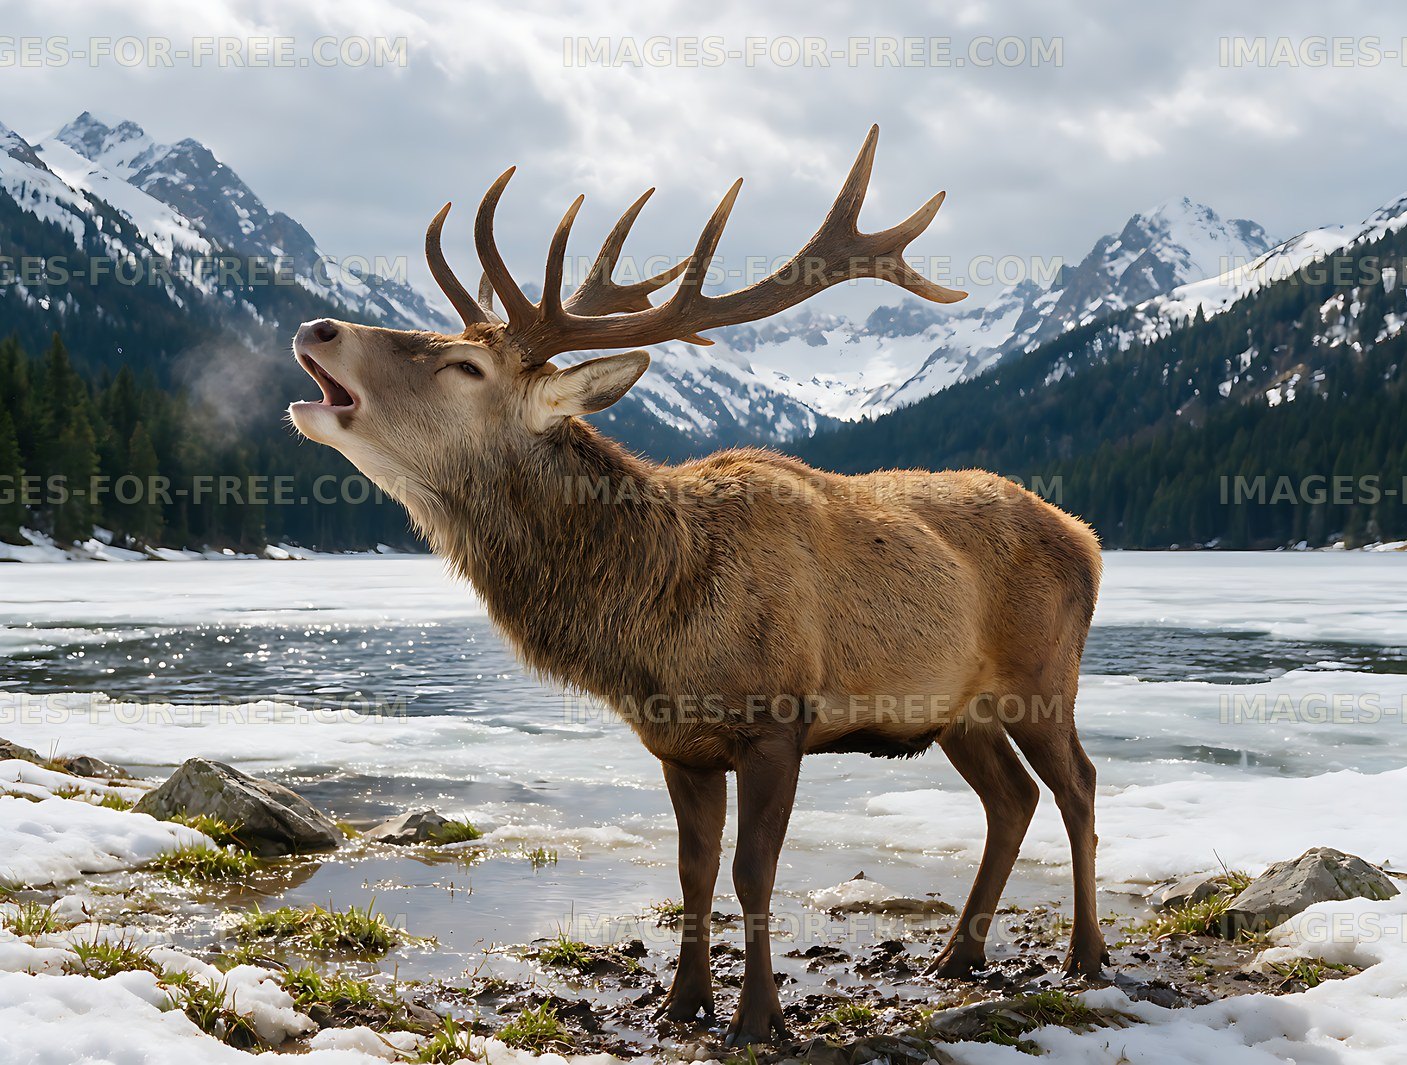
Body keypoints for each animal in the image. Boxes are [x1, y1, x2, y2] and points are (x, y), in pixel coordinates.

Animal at [287, 126, 1106, 1047]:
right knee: (1011, 799)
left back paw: (1085, 954)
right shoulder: (676, 741)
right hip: (956, 707)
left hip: (1043, 674)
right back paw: (957, 955)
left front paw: (757, 1019)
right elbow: (693, 869)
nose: (317, 324)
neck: (656, 618)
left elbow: (753, 871)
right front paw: (681, 1004)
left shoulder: (778, 717)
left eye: (465, 365)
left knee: (1076, 786)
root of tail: (1088, 538)